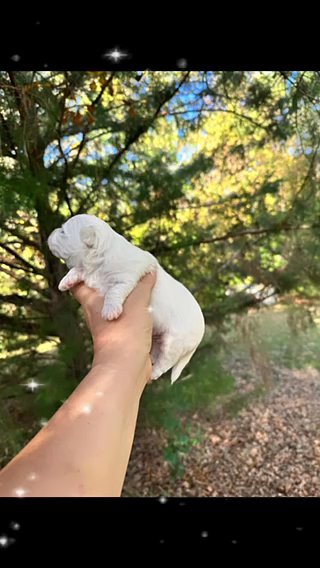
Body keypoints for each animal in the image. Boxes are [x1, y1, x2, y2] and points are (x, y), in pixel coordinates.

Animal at [48, 215, 205, 384]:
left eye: (63, 232)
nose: (50, 234)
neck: (100, 257)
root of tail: (199, 336)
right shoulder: (89, 271)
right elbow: (77, 271)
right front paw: (66, 281)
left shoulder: (125, 279)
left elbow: (113, 291)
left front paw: (110, 311)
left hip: (174, 342)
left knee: (165, 362)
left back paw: (154, 372)